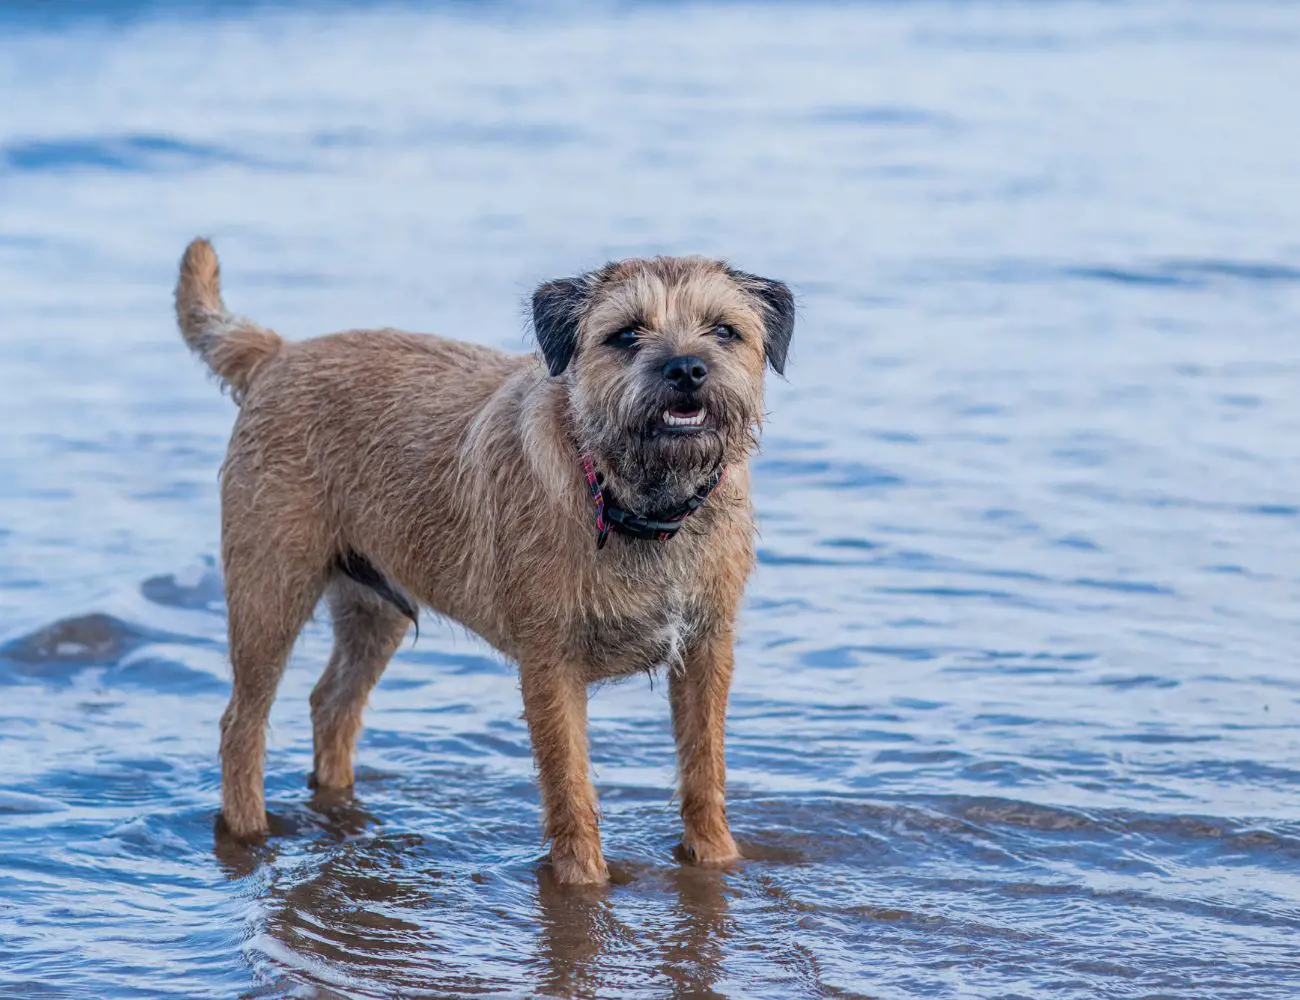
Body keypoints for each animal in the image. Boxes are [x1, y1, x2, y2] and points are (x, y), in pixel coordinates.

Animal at [175, 237, 790, 884]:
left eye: (723, 331)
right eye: (626, 334)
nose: (687, 369)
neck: (633, 503)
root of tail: (278, 353)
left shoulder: (706, 650)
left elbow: (704, 769)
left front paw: (716, 858)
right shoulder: (551, 666)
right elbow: (570, 786)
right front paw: (582, 882)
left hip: (374, 609)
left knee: (332, 705)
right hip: (269, 594)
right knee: (242, 725)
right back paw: (249, 832)